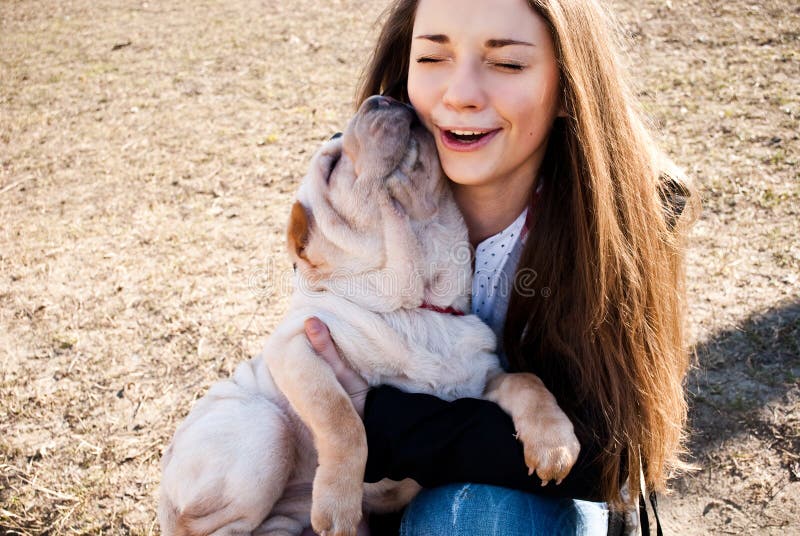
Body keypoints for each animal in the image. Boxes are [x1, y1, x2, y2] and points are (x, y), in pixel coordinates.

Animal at [158, 96, 580, 536]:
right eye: (331, 168)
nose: (383, 98)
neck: (418, 305)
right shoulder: (296, 348)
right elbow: (342, 422)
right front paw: (337, 503)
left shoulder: (480, 384)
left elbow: (527, 382)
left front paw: (554, 443)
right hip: (266, 430)